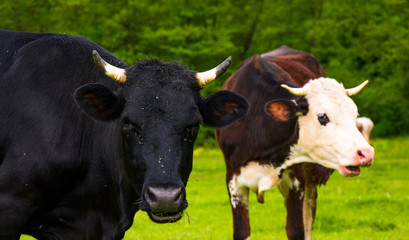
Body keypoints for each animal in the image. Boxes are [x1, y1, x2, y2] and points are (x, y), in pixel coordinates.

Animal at [215, 46, 374, 239]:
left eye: (354, 114)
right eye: (322, 116)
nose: (366, 153)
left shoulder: (297, 178)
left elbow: (297, 228)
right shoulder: (233, 179)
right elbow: (241, 231)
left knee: (308, 215)